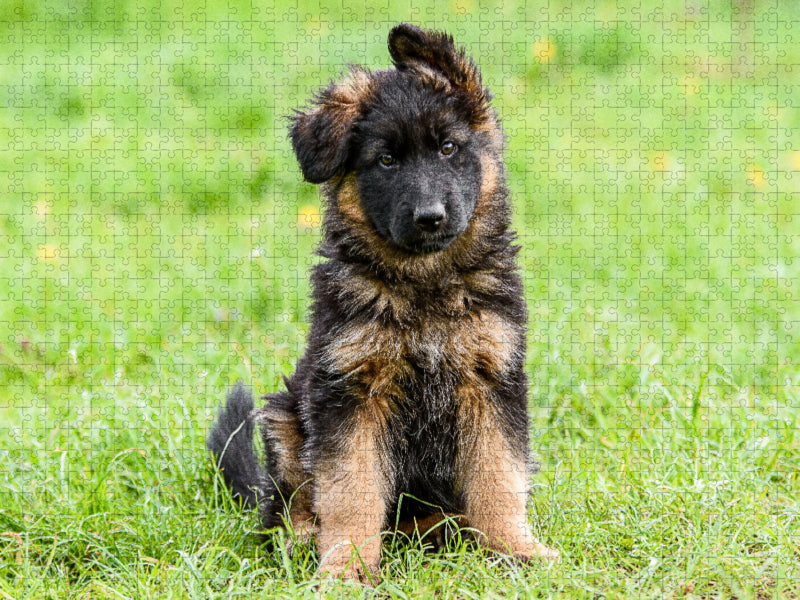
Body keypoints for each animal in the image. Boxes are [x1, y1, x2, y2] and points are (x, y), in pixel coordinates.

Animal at [206, 22, 556, 580]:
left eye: (449, 148)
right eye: (386, 160)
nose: (430, 218)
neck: (424, 285)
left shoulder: (492, 379)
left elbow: (499, 475)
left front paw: (515, 549)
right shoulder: (349, 391)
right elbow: (351, 489)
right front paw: (346, 567)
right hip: (284, 417)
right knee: (286, 504)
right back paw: (302, 538)